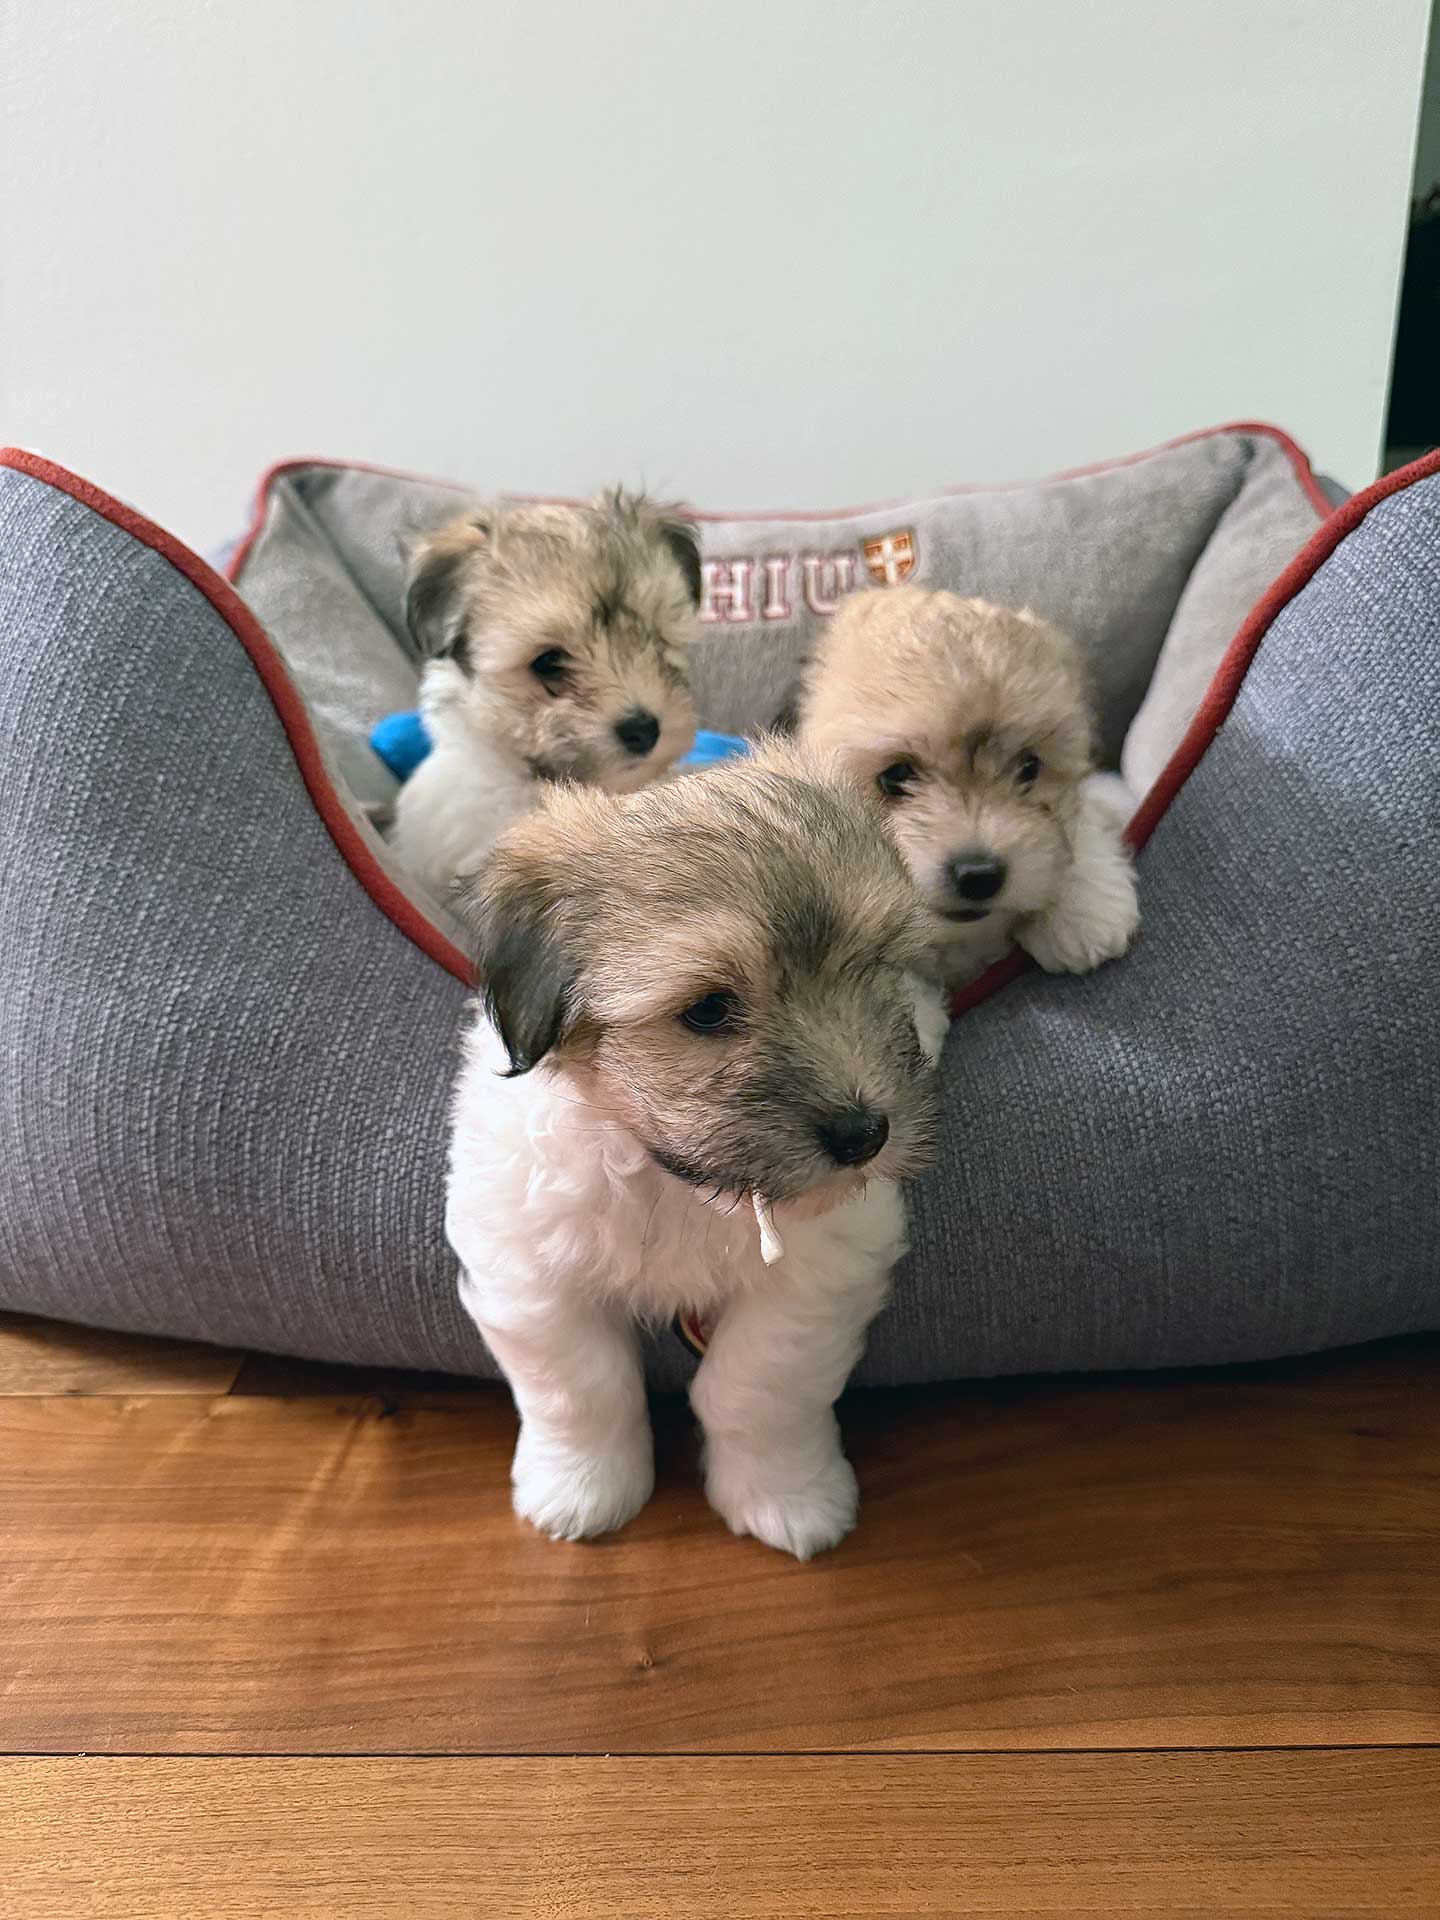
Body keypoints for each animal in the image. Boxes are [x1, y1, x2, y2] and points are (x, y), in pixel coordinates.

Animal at [446, 741, 947, 1559]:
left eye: (874, 964)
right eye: (709, 1010)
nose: (865, 1134)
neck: (670, 1180)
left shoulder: (813, 1280)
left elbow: (756, 1387)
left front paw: (784, 1493)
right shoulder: (529, 1266)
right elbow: (580, 1387)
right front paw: (581, 1486)